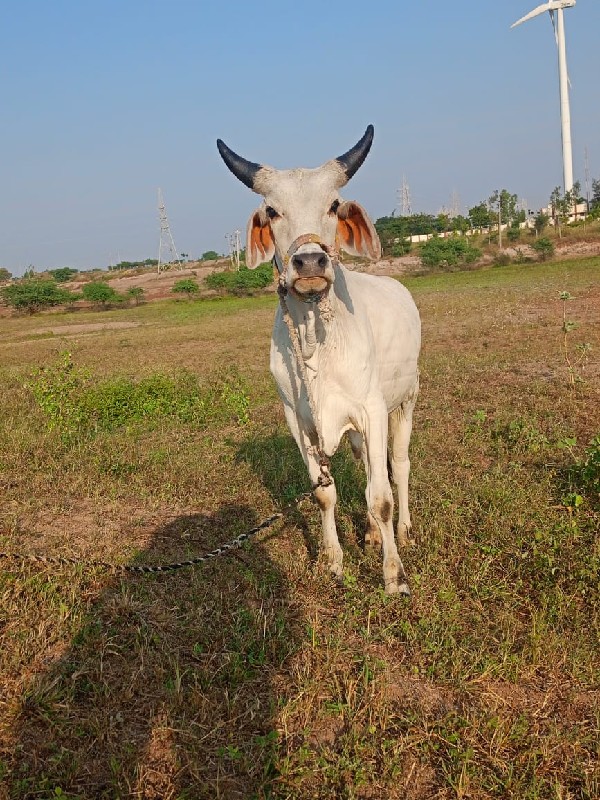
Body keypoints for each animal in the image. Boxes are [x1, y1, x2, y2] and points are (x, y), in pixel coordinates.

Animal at [217, 125, 422, 592]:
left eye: (333, 205)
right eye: (272, 211)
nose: (310, 260)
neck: (317, 342)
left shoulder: (372, 409)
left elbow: (381, 496)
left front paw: (394, 574)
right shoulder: (300, 421)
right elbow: (325, 492)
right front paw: (333, 560)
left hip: (406, 399)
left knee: (398, 466)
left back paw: (402, 530)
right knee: (366, 466)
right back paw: (370, 534)